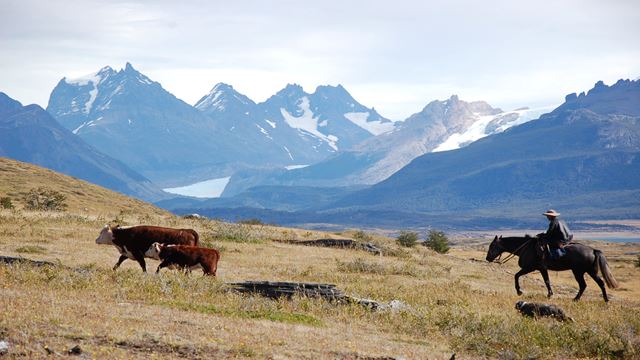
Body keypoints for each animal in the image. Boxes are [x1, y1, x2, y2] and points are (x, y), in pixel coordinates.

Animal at [484, 235, 620, 302]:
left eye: (492, 246)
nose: (487, 258)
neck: (525, 248)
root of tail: (593, 250)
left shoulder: (530, 268)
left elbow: (516, 276)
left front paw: (519, 291)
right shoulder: (542, 269)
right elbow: (547, 281)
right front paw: (550, 295)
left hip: (580, 271)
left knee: (589, 284)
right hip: (586, 271)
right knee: (592, 284)